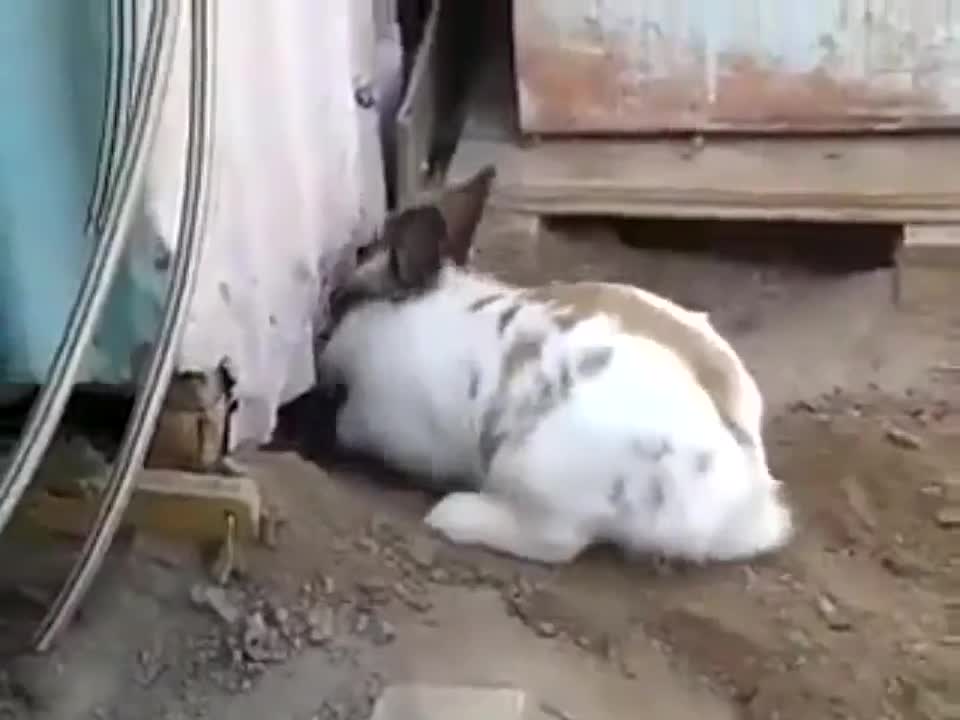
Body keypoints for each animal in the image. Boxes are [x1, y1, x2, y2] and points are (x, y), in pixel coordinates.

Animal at [318, 166, 792, 565]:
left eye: (341, 301)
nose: (319, 340)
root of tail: (748, 502)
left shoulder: (387, 421)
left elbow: (348, 428)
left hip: (534, 471)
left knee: (558, 542)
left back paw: (453, 514)